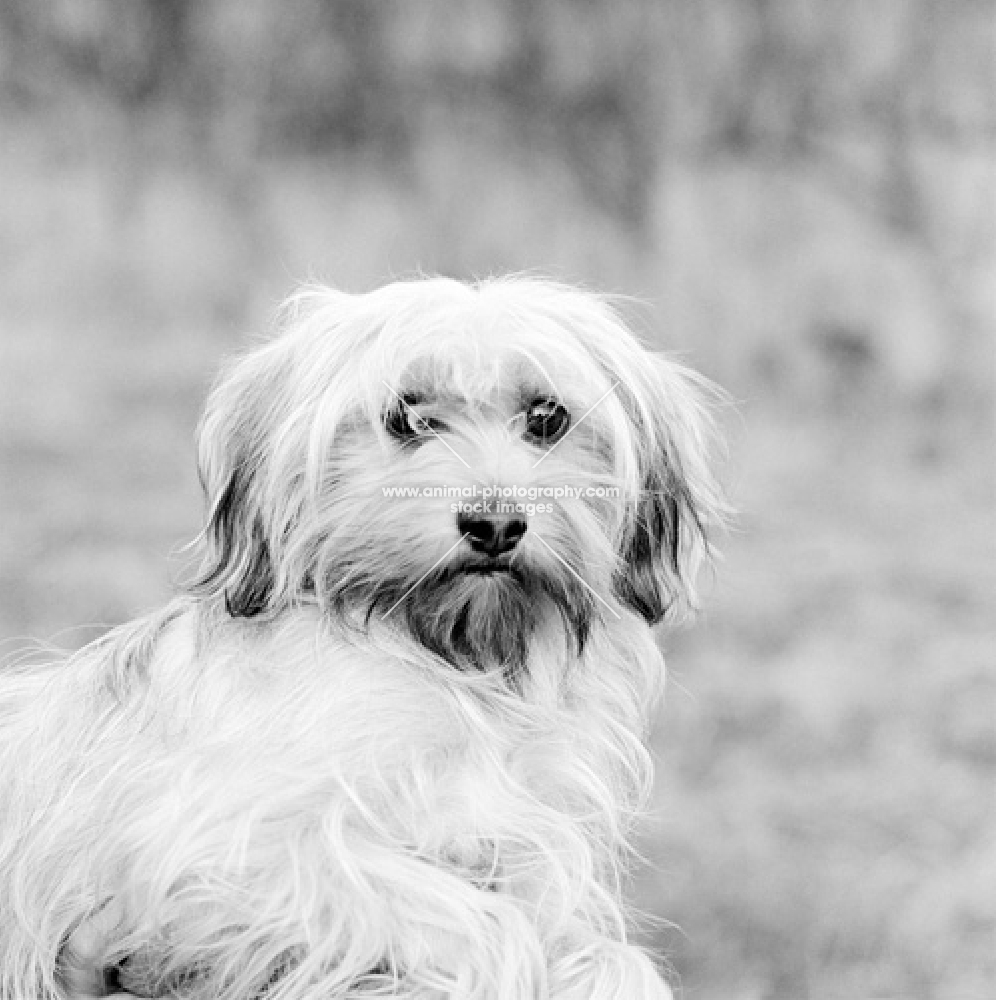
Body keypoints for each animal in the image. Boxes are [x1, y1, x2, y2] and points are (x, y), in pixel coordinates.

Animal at [0, 276, 724, 1000]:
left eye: (547, 416)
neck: (455, 664)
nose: (494, 524)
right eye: (406, 417)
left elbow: (611, 960)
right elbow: (486, 929)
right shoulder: (218, 849)